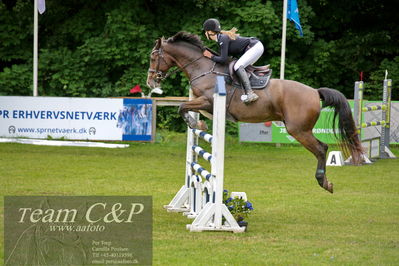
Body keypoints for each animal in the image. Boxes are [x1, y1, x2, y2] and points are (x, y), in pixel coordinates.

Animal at [145, 31, 364, 193]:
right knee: (321, 148)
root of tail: (314, 92)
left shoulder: (207, 101)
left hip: (298, 130)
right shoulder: (204, 104)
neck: (203, 68)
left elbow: (182, 107)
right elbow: (187, 108)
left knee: (321, 148)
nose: (151, 82)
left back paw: (323, 182)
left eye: (153, 57)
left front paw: (195, 123)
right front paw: (200, 123)